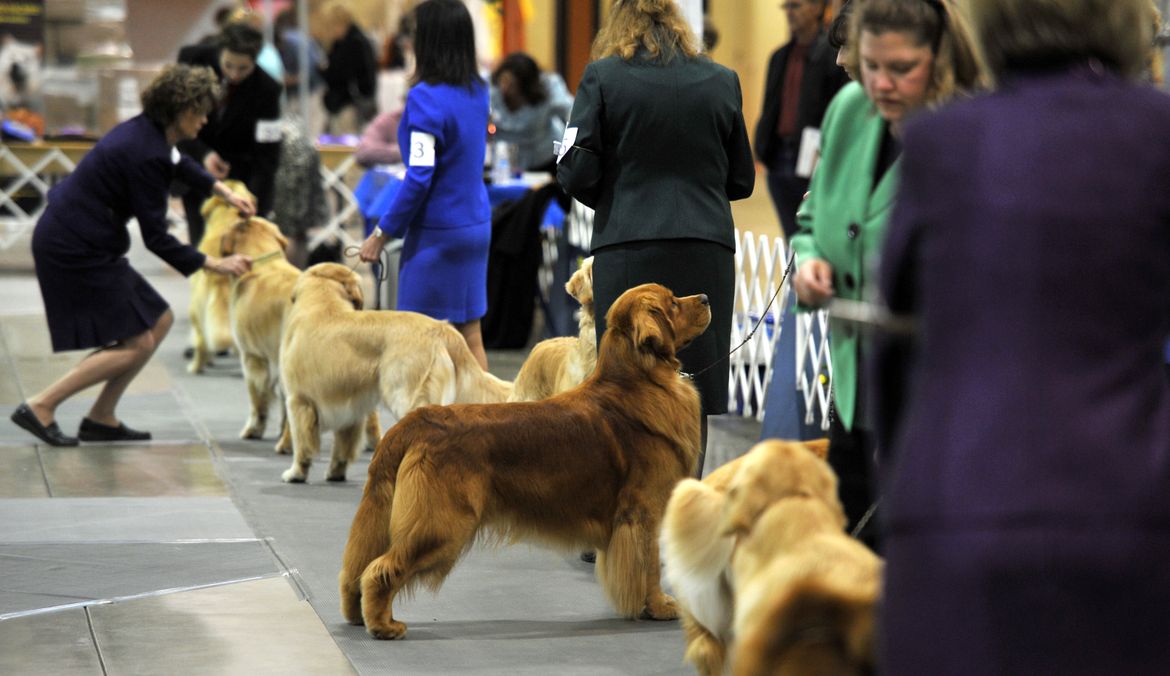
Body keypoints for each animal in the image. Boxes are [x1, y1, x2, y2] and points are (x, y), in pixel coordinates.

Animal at [278, 260, 512, 481]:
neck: (322, 303)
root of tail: (443, 329)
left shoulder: (298, 400)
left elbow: (302, 443)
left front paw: (296, 473)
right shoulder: (350, 404)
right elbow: (344, 446)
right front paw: (336, 472)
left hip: (406, 395)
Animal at [336, 283, 702, 636]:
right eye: (672, 303)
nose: (706, 297)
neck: (638, 382)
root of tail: (418, 420)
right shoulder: (645, 510)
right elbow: (650, 564)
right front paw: (659, 606)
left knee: (357, 570)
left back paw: (358, 615)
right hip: (440, 523)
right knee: (379, 569)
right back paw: (383, 625)